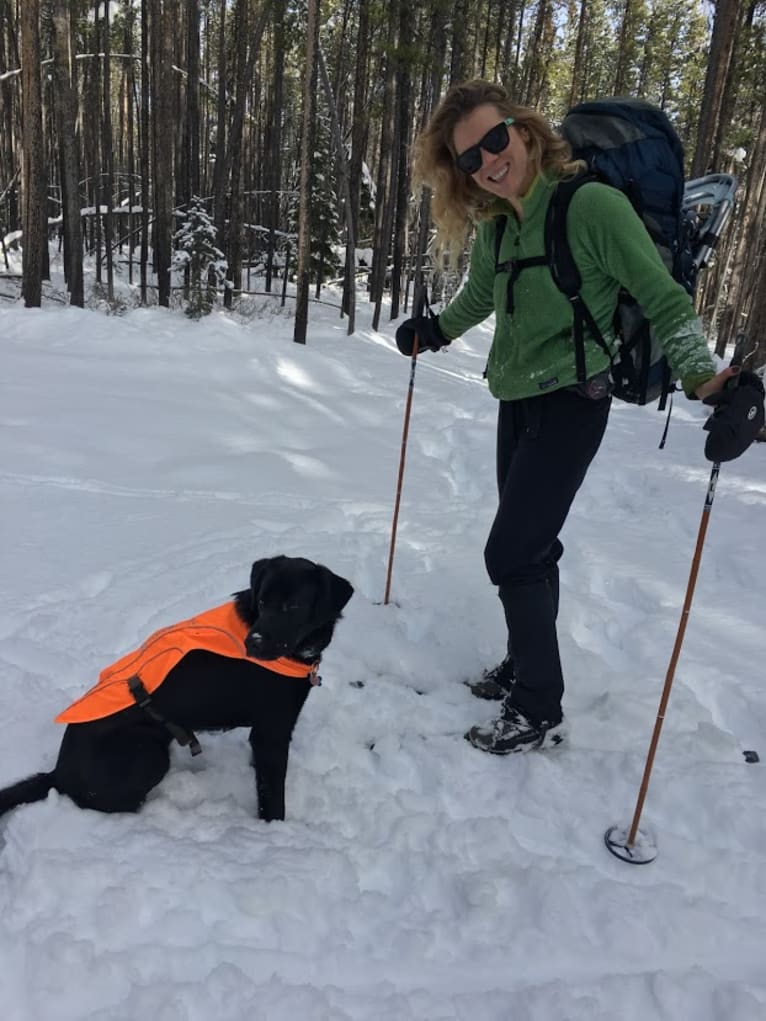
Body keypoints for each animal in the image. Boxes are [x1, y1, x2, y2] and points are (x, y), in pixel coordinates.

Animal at [0, 555, 353, 824]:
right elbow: (272, 796)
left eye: (293, 606)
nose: (253, 643)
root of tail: (58, 773)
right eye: (263, 601)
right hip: (148, 752)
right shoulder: (272, 731)